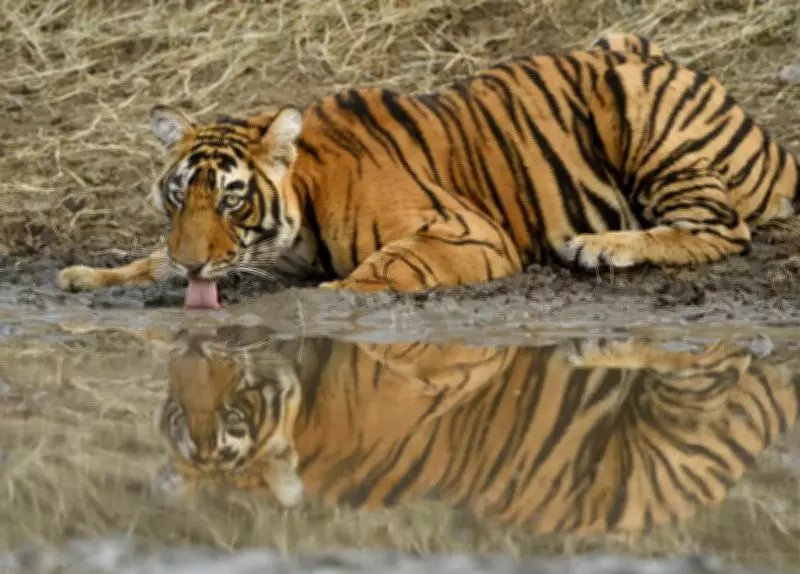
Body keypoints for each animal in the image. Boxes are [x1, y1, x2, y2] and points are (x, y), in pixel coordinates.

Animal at [56, 32, 800, 308]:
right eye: (178, 198)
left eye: (234, 199)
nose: (194, 267)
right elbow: (151, 257)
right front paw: (88, 273)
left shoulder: (466, 231)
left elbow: (391, 264)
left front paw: (333, 295)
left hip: (638, 102)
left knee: (722, 228)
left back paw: (601, 247)